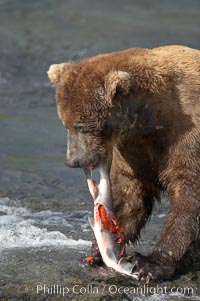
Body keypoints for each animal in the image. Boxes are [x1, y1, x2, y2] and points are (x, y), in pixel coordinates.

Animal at [47, 45, 200, 282]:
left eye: (81, 126)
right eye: (65, 123)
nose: (73, 160)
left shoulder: (187, 136)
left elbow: (188, 194)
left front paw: (148, 264)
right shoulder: (135, 147)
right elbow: (130, 195)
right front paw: (98, 249)